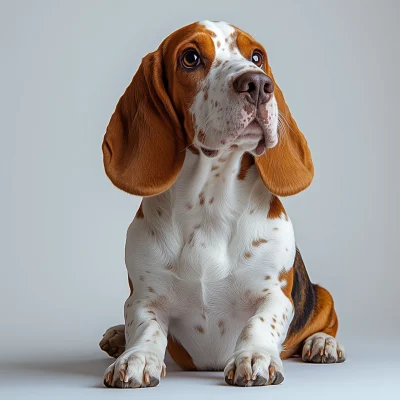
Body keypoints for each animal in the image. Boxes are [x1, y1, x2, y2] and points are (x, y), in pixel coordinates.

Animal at [98, 19, 346, 388]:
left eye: (256, 56)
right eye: (190, 58)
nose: (258, 84)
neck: (209, 201)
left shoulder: (275, 294)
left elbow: (260, 324)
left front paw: (254, 357)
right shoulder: (143, 297)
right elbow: (145, 328)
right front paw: (137, 357)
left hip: (323, 295)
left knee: (325, 323)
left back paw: (323, 343)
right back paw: (116, 337)